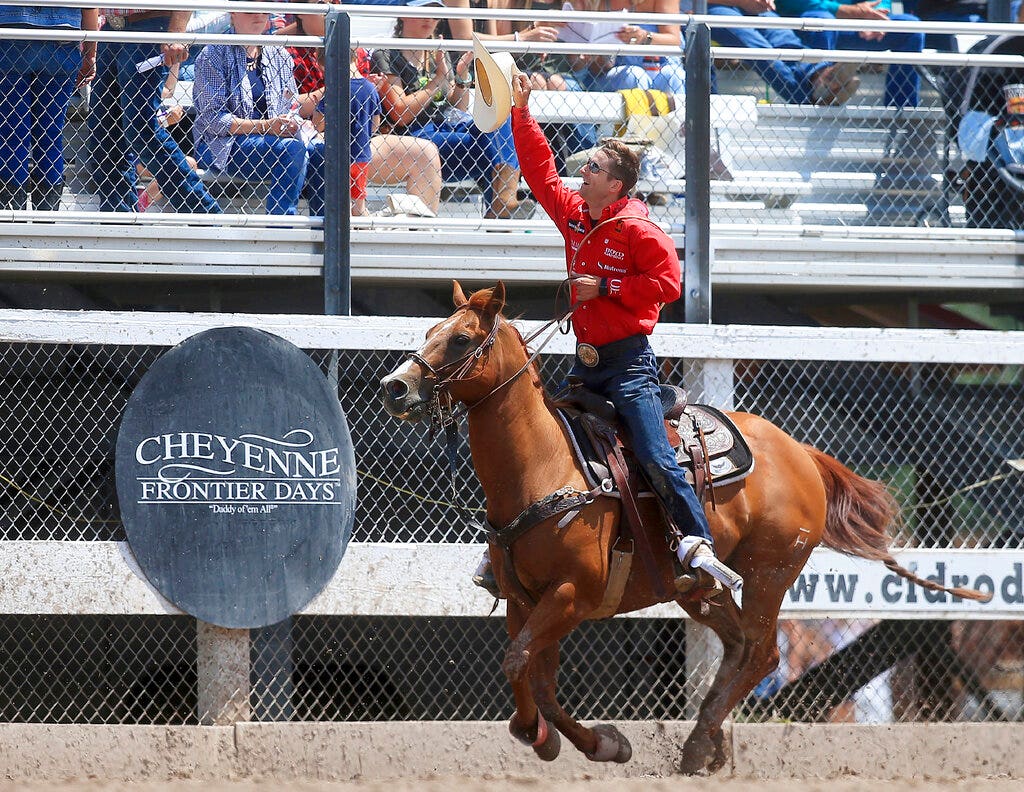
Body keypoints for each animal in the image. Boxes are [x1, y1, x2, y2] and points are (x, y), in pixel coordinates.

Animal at [380, 282, 987, 770]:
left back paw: (698, 744)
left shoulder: (572, 595)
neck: (546, 467)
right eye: (430, 331)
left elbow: (518, 663)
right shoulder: (523, 599)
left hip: (768, 574)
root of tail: (801, 453)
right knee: (738, 648)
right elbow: (535, 677)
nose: (395, 386)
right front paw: (573, 740)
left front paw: (578, 741)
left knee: (761, 653)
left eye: (461, 339)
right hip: (697, 590)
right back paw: (709, 744)